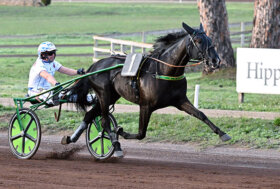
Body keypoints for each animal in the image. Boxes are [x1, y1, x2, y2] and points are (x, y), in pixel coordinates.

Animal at [69, 22, 231, 157]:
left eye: (209, 38)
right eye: (198, 40)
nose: (216, 60)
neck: (164, 71)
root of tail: (94, 66)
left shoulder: (180, 101)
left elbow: (201, 114)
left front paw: (223, 133)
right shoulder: (145, 105)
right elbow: (141, 133)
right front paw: (121, 132)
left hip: (112, 96)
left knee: (90, 115)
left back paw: (71, 138)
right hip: (104, 94)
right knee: (104, 121)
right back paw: (116, 145)